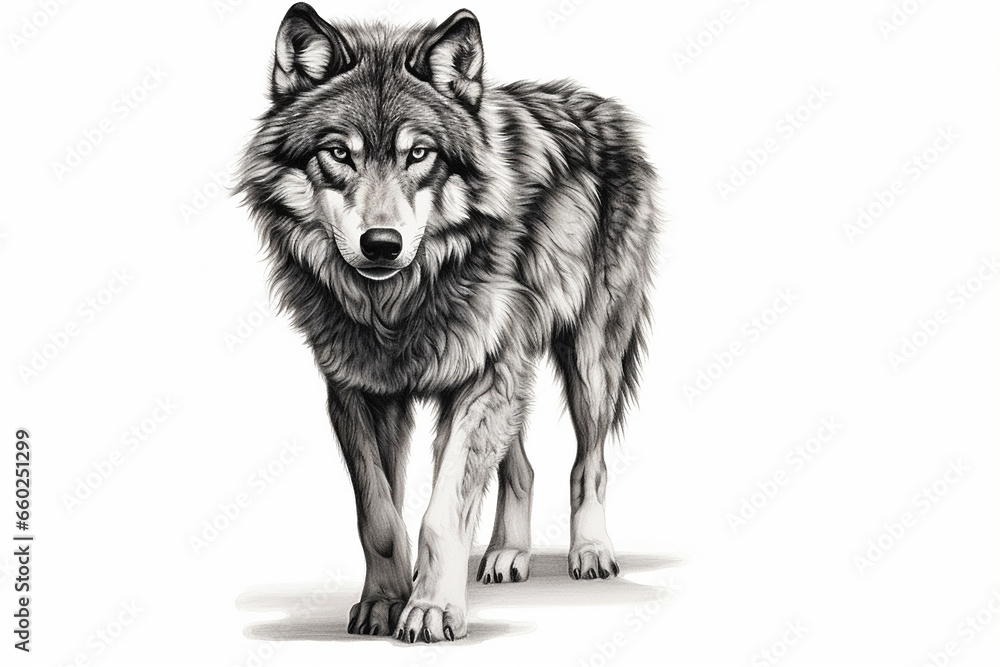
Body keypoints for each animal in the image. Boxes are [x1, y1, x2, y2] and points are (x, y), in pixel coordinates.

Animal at [237, 3, 659, 643]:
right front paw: (384, 603)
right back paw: (507, 556)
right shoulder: (358, 393)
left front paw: (432, 610)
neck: (395, 306)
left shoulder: (482, 380)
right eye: (339, 153)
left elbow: (440, 515)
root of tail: (600, 105)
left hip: (587, 363)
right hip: (510, 377)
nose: (381, 244)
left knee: (589, 463)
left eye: (419, 154)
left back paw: (589, 553)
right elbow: (380, 518)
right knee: (522, 468)